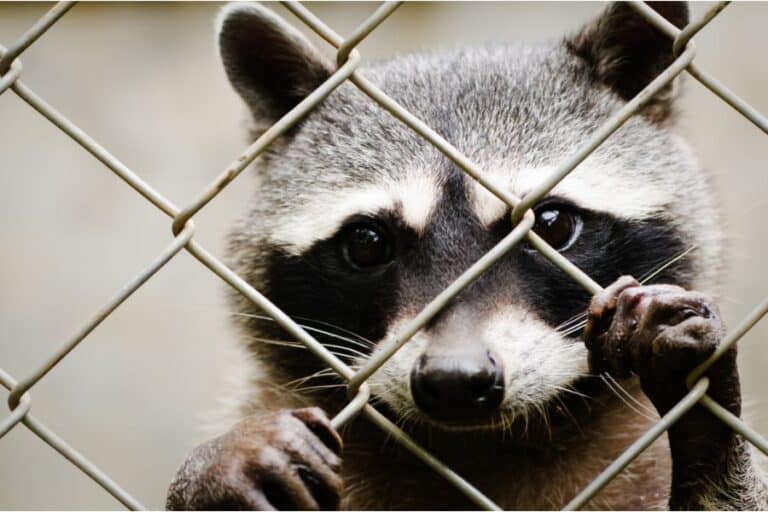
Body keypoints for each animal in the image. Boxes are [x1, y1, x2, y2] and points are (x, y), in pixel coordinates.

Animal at [167, 2, 767, 509]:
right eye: (367, 243)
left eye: (551, 225)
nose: (456, 379)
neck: (481, 446)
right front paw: (215, 473)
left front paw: (708, 434)